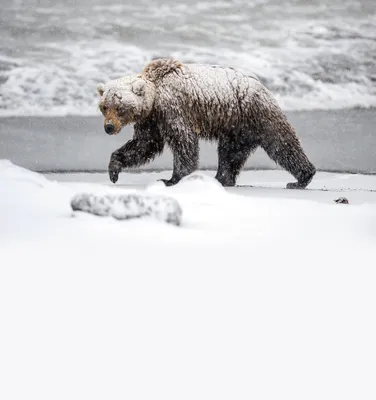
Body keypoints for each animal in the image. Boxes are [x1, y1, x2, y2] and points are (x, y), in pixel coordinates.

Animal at [96, 58, 314, 189]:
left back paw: (301, 178)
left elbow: (183, 142)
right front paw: (114, 170)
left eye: (119, 107)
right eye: (105, 107)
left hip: (254, 112)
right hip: (235, 127)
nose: (109, 127)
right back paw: (221, 179)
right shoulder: (151, 120)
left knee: (281, 143)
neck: (155, 97)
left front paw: (172, 179)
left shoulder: (173, 109)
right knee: (230, 152)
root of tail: (261, 84)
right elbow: (143, 145)